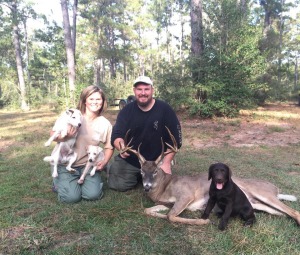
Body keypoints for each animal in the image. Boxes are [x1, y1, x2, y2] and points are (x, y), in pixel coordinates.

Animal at [121, 127, 300, 225]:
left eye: (156, 171)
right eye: (141, 171)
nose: (146, 187)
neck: (164, 188)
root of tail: (276, 189)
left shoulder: (186, 195)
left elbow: (171, 216)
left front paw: (204, 220)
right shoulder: (165, 203)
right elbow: (148, 210)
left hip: (263, 193)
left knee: (293, 211)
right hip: (256, 203)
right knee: (280, 212)